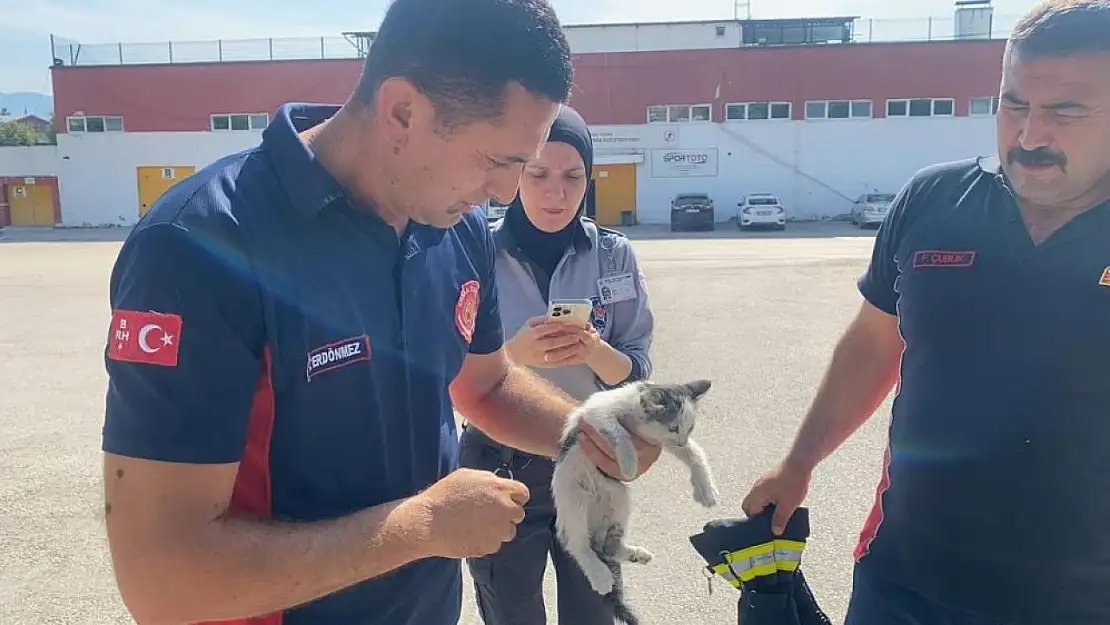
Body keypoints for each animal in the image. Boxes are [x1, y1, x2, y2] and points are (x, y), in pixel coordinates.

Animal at [548, 379, 719, 621]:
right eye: (673, 427)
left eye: (690, 428)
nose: (681, 440)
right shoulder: (594, 414)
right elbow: (618, 433)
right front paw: (629, 463)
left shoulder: (661, 440)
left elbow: (694, 451)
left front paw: (706, 489)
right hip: (572, 498)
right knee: (576, 543)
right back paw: (599, 574)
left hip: (619, 495)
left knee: (607, 547)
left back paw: (636, 554)